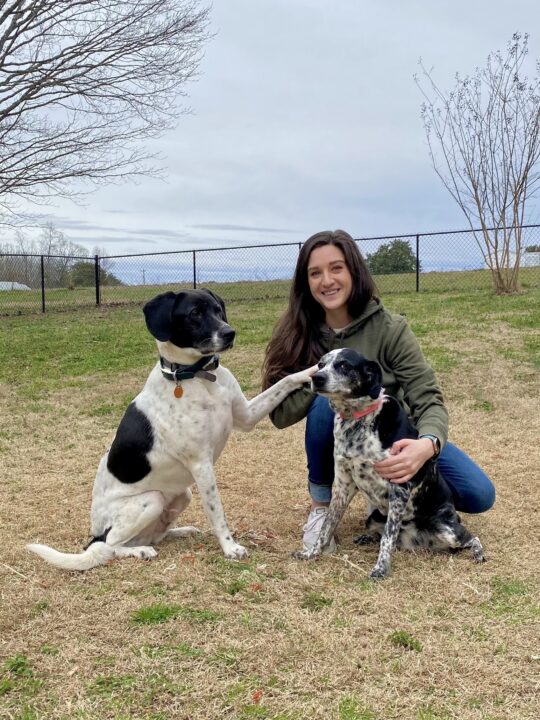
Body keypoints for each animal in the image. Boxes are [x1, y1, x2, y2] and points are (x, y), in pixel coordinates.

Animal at [28, 290, 316, 572]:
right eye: (194, 313)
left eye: (217, 310)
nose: (230, 333)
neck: (199, 377)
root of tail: (95, 532)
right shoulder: (201, 464)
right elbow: (217, 512)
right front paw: (230, 547)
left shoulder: (246, 416)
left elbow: (285, 381)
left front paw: (315, 370)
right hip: (151, 500)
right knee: (108, 546)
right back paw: (140, 551)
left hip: (182, 495)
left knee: (153, 535)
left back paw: (180, 531)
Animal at [296, 348, 486, 580]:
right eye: (321, 364)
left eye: (344, 365)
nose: (316, 378)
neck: (356, 419)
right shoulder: (343, 485)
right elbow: (327, 525)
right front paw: (312, 552)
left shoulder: (399, 488)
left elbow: (388, 537)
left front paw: (380, 568)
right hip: (373, 517)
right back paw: (367, 538)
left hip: (448, 531)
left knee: (471, 537)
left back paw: (478, 553)